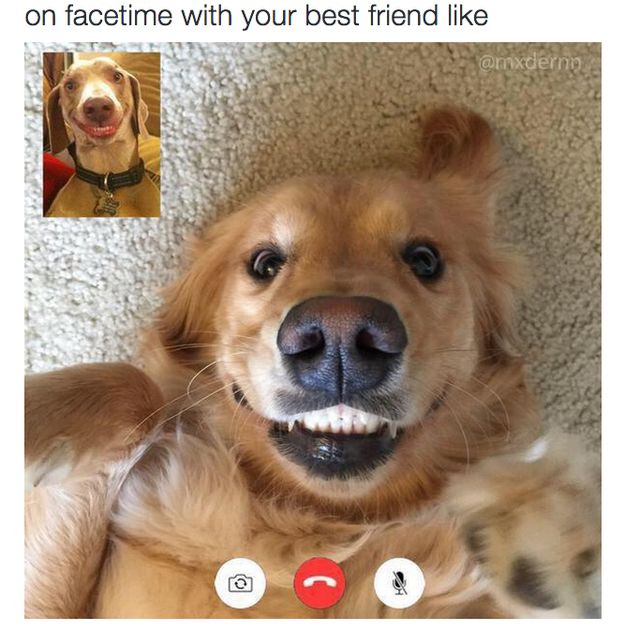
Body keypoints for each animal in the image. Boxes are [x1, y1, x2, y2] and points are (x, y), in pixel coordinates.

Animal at [24, 107, 600, 616]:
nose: (342, 339)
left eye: (425, 260)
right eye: (265, 263)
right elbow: (134, 385)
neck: (324, 526)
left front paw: (546, 530)